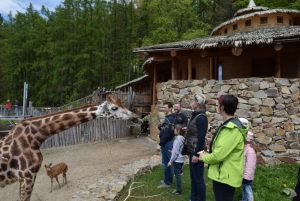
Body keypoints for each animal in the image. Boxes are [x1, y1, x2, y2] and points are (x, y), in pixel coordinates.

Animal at [0, 94, 135, 201]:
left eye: (121, 103)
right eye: (114, 108)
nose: (134, 116)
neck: (36, 136)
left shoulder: (23, 179)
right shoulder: (27, 176)